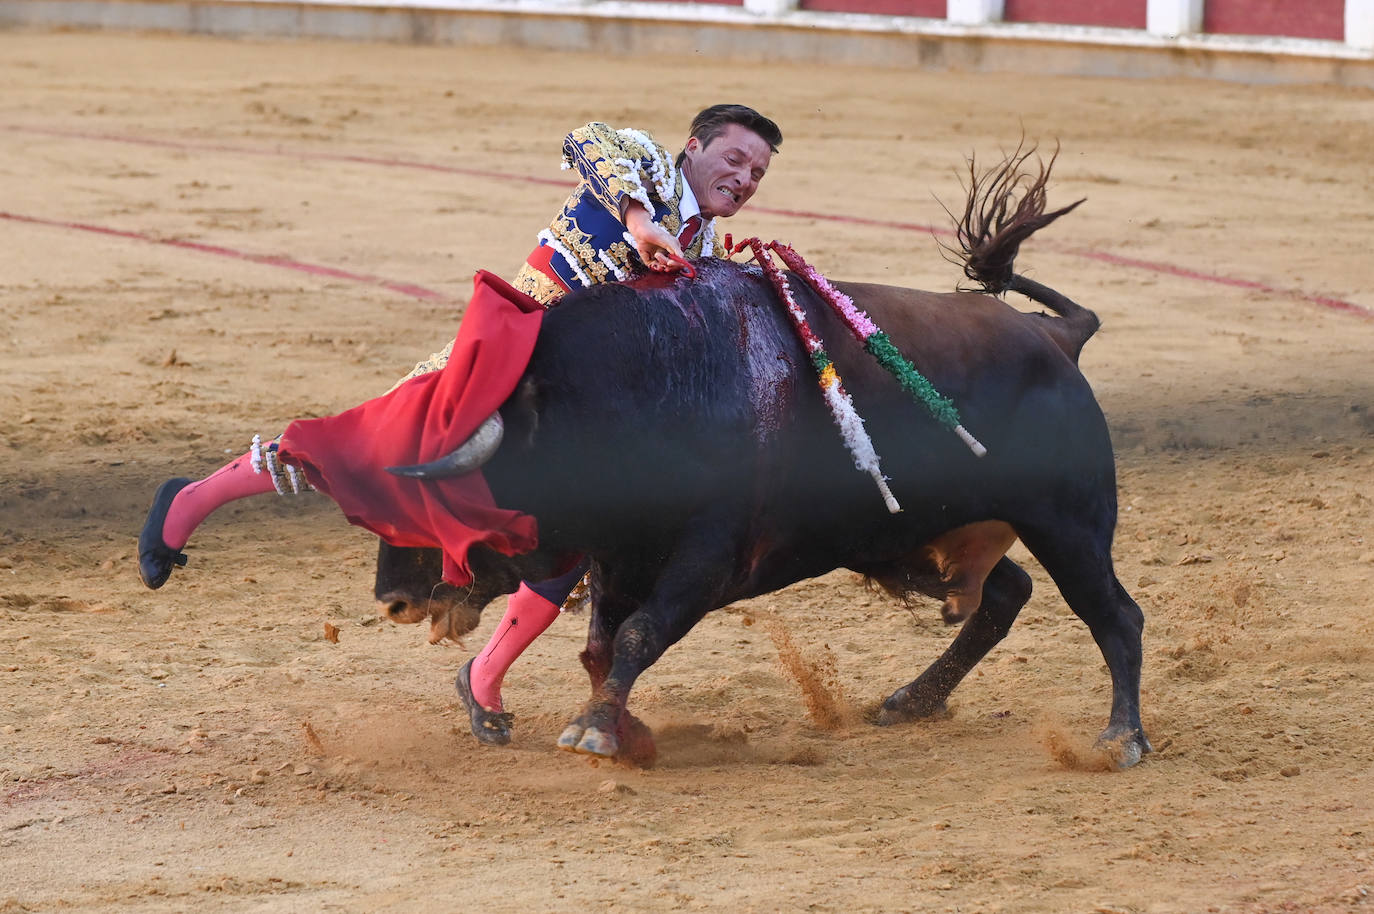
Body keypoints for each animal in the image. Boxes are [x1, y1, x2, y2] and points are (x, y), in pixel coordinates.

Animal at [376, 224, 1148, 764]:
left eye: (445, 493)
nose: (394, 601)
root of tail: (1058, 338)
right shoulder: (618, 557)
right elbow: (601, 647)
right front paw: (622, 729)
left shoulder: (709, 558)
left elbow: (638, 634)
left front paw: (595, 732)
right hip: (929, 536)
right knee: (1005, 593)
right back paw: (909, 701)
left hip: (1068, 522)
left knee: (1115, 614)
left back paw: (1121, 740)